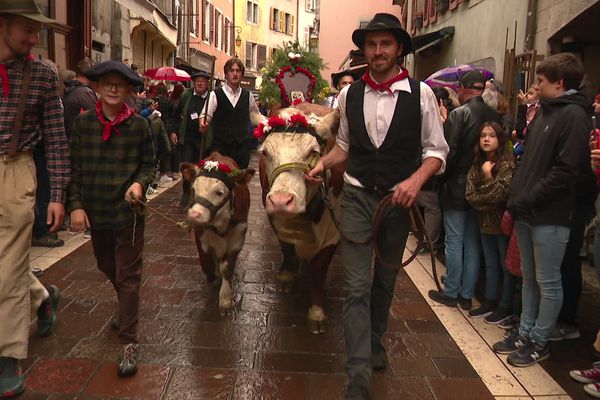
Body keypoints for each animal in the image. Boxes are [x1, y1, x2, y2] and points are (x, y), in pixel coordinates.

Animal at [178, 156, 253, 316]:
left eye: (219, 192)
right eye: (194, 189)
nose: (194, 215)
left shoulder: (237, 238)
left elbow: (227, 268)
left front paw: (225, 301)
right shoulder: (201, 237)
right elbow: (207, 262)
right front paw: (214, 278)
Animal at [255, 104, 344, 334]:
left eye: (313, 152)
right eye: (265, 152)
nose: (280, 200)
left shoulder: (335, 230)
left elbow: (319, 269)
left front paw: (317, 313)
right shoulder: (273, 216)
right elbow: (286, 247)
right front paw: (286, 276)